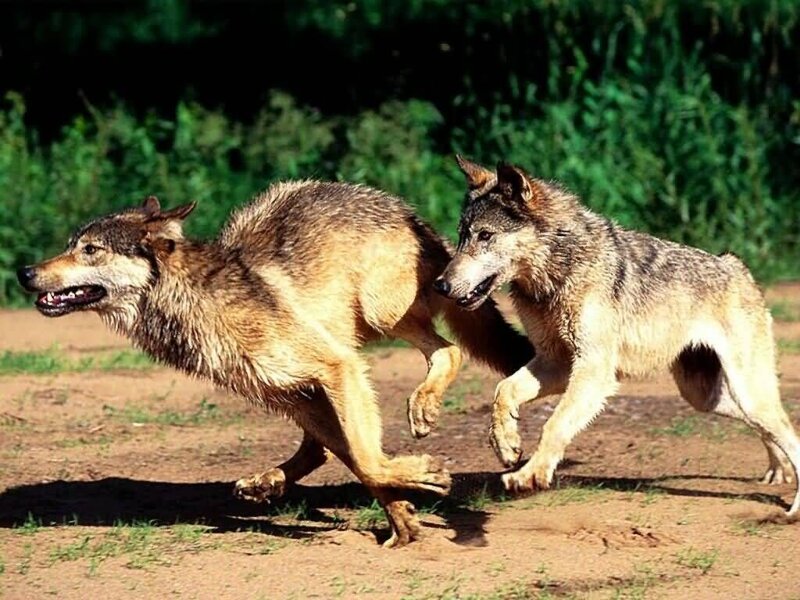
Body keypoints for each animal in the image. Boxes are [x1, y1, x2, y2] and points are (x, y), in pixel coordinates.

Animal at [17, 180, 534, 546]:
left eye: (90, 250)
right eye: (71, 244)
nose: (24, 272)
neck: (199, 300)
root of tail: (405, 211)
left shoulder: (337, 367)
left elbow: (369, 459)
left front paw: (424, 479)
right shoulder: (303, 388)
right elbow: (363, 462)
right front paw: (404, 518)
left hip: (376, 317)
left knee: (448, 350)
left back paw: (422, 408)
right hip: (296, 392)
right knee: (322, 449)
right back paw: (265, 483)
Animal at [433, 156, 800, 517]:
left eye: (485, 235)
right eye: (461, 236)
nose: (440, 285)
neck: (558, 273)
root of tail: (737, 267)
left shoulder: (594, 372)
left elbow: (554, 424)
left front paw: (530, 474)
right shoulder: (556, 362)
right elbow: (503, 390)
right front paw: (506, 445)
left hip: (747, 392)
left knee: (788, 429)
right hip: (705, 397)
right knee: (768, 427)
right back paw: (778, 468)